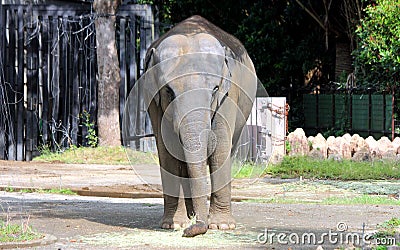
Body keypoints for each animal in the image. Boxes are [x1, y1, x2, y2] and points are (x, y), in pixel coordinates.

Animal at [143, 14, 256, 237]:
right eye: (168, 91)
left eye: (215, 90)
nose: (192, 231)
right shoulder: (154, 101)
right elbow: (167, 150)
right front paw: (173, 225)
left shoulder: (229, 95)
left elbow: (220, 148)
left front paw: (222, 226)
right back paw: (190, 216)